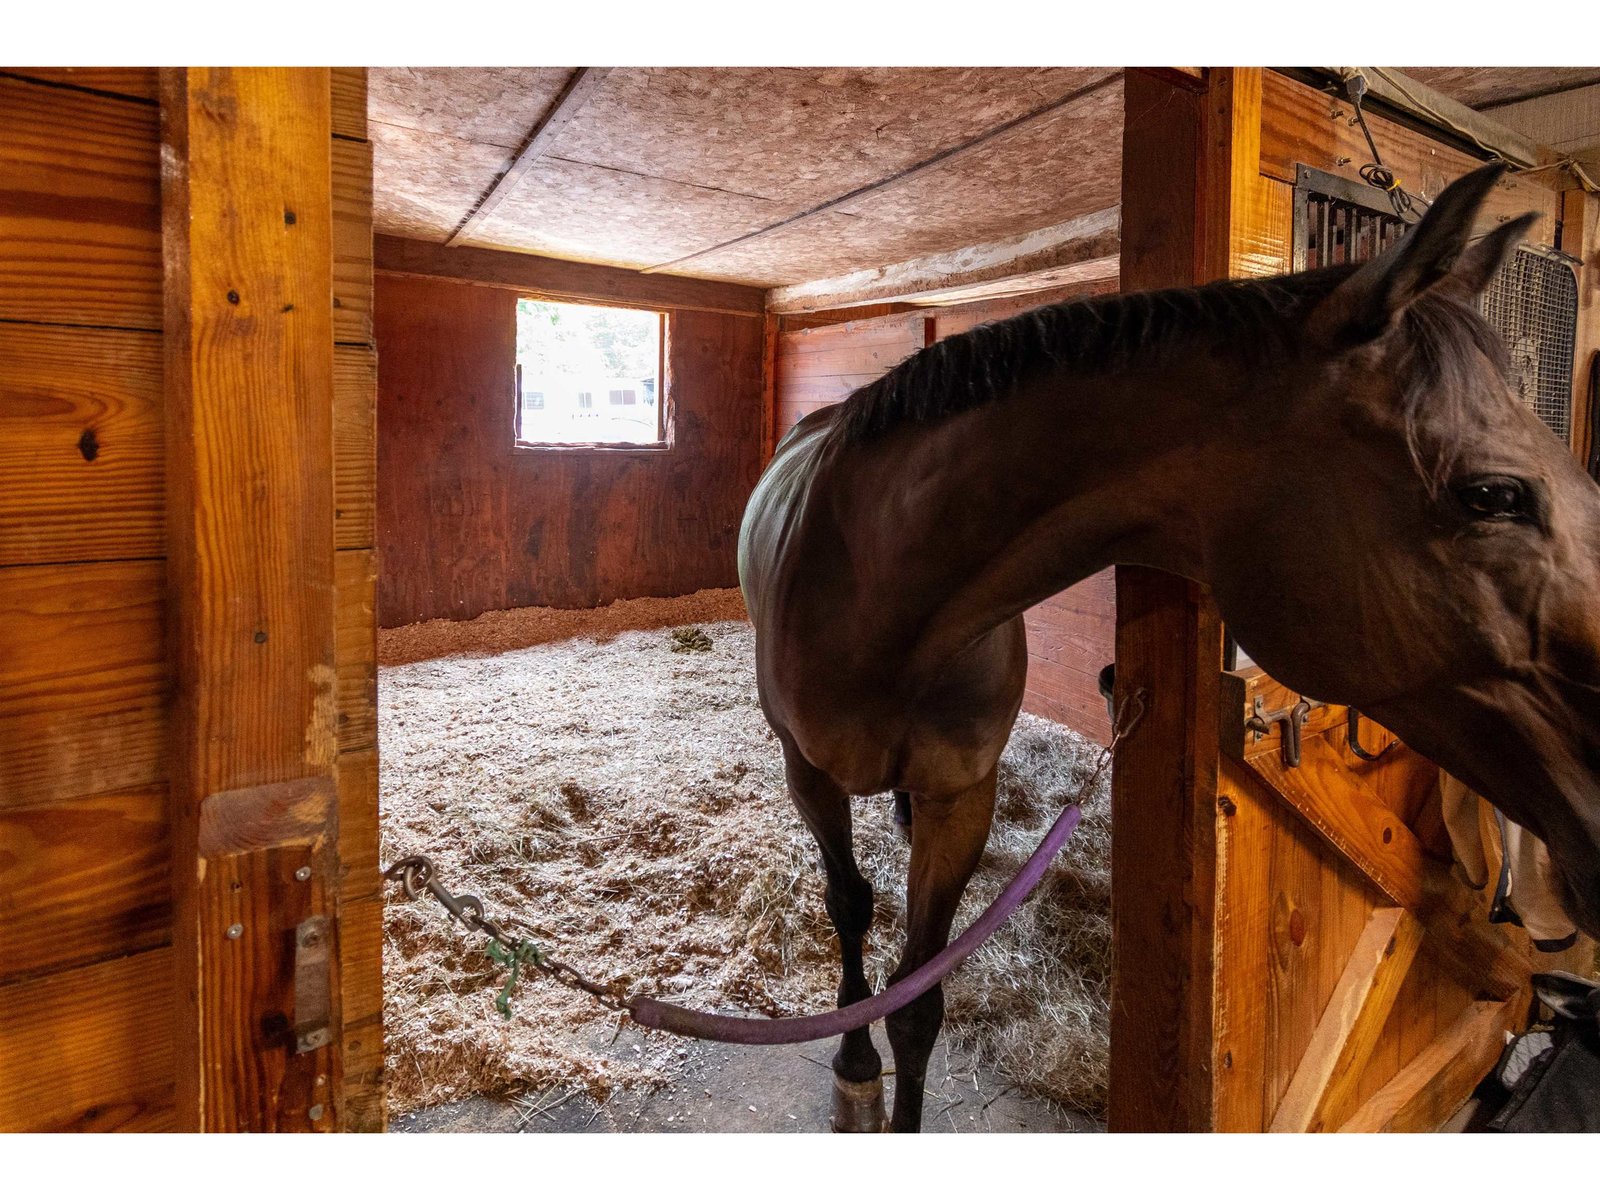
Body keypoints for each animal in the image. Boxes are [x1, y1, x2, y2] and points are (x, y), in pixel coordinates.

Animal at [736, 163, 1600, 1132]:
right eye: (1494, 494)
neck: (886, 591)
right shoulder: (806, 772)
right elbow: (848, 906)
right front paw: (854, 1064)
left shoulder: (964, 791)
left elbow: (919, 999)